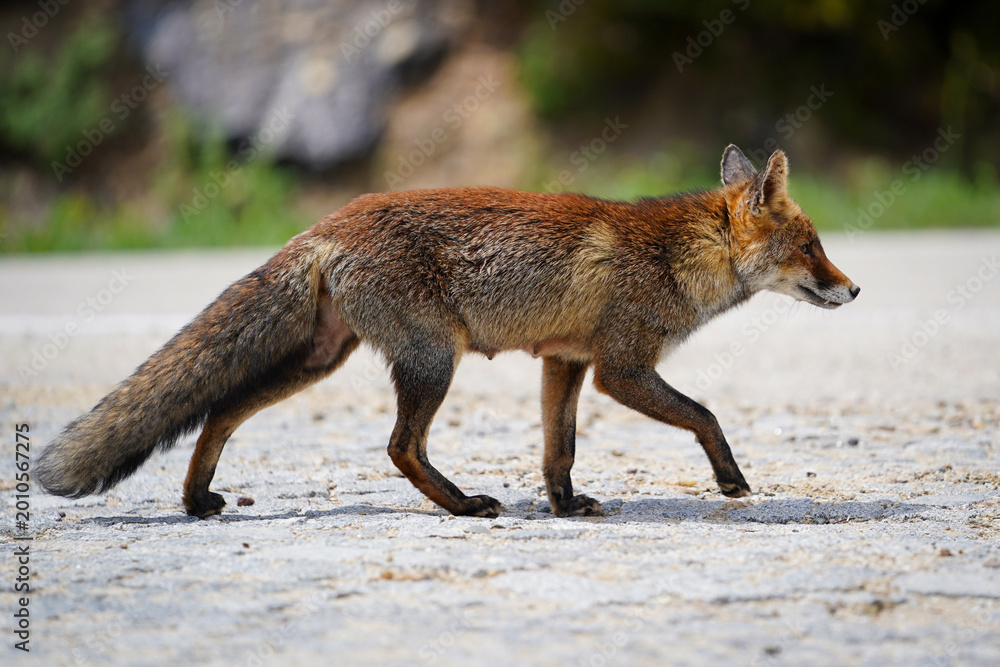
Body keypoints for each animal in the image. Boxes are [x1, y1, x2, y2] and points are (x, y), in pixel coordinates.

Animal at [36, 145, 859, 519]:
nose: (854, 288)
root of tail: (331, 221)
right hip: (434, 359)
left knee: (221, 409)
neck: (677, 253)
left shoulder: (564, 362)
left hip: (322, 359)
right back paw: (462, 505)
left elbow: (558, 450)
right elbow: (706, 415)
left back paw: (198, 496)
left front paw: (564, 508)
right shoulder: (619, 369)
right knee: (401, 446)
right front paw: (731, 479)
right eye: (812, 246)